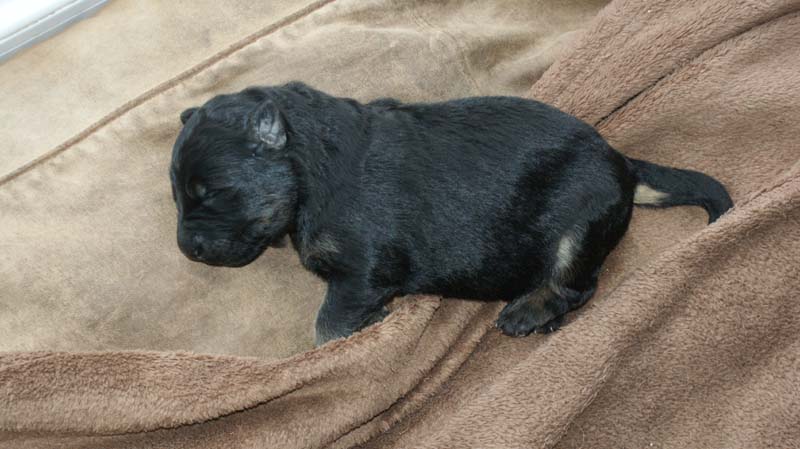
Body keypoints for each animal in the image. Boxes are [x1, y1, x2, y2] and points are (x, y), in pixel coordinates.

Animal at [170, 82, 733, 345]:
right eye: (178, 195)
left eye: (210, 194)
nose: (185, 249)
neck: (308, 168)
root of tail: (622, 163)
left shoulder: (363, 269)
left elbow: (327, 327)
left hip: (577, 227)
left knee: (576, 284)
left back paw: (529, 312)